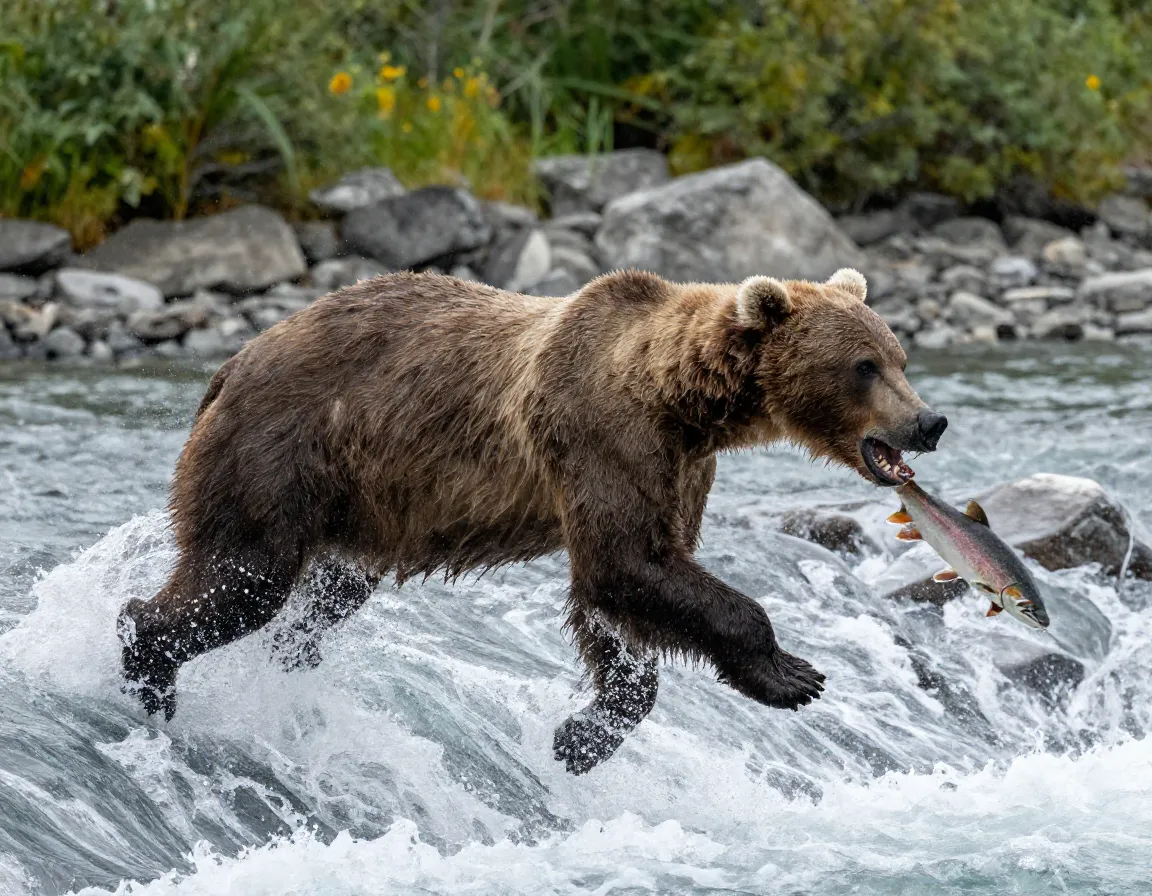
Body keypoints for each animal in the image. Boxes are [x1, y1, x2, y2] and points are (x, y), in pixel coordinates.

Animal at [118, 267, 947, 774]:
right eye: (864, 366)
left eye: (900, 357)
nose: (929, 421)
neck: (685, 403)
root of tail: (231, 364)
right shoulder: (601, 435)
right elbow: (627, 565)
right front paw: (791, 673)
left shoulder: (675, 469)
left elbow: (622, 601)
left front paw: (581, 736)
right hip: (278, 453)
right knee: (242, 576)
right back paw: (149, 670)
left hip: (355, 505)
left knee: (323, 594)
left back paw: (291, 659)